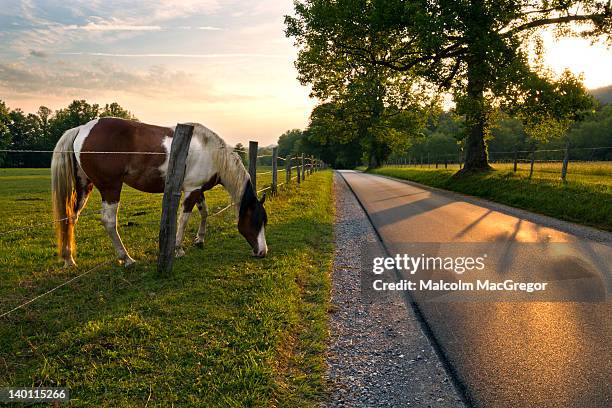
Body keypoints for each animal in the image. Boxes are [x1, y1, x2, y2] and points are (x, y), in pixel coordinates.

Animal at [49, 117, 266, 268]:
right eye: (256, 222)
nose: (262, 252)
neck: (209, 150)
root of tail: (83, 128)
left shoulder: (197, 189)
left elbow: (204, 213)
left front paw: (200, 239)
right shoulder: (191, 191)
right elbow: (183, 220)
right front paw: (178, 249)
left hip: (84, 186)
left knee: (70, 217)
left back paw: (69, 259)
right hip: (110, 188)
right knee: (109, 221)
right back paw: (127, 259)